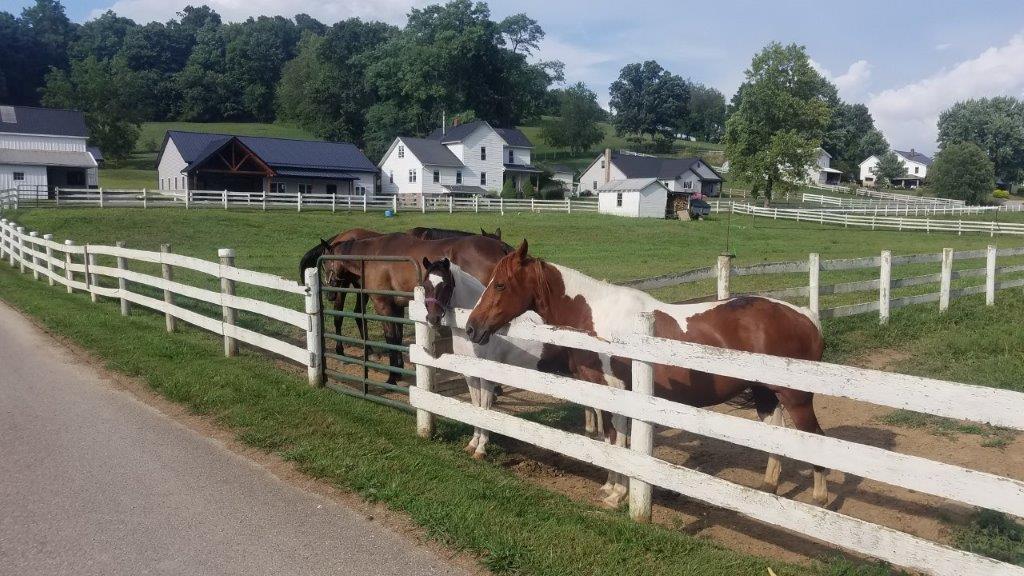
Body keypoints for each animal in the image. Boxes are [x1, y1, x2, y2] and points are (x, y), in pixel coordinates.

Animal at [468, 239, 827, 504]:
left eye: (500, 285)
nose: (472, 328)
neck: (599, 319)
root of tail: (805, 316)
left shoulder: (618, 391)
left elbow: (617, 441)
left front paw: (618, 494)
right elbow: (611, 440)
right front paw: (611, 487)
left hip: (796, 399)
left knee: (817, 439)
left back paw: (820, 500)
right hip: (766, 394)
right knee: (777, 438)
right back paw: (768, 488)